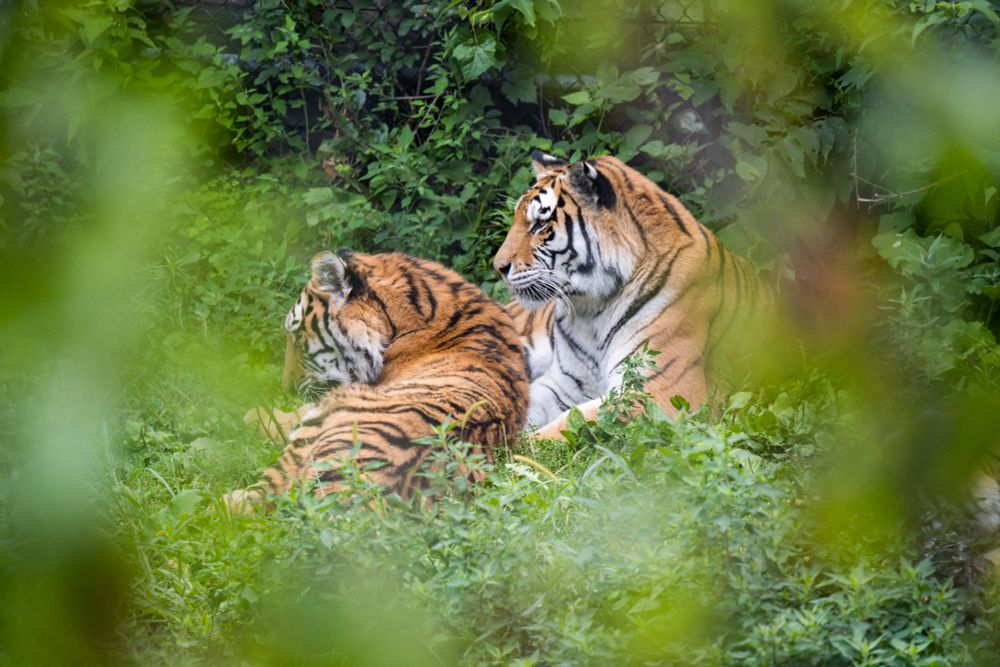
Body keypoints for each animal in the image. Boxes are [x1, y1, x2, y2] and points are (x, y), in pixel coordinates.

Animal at [493, 151, 773, 440]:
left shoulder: (663, 391)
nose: (498, 267)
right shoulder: (562, 384)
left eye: (539, 224)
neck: (591, 310)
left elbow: (569, 422)